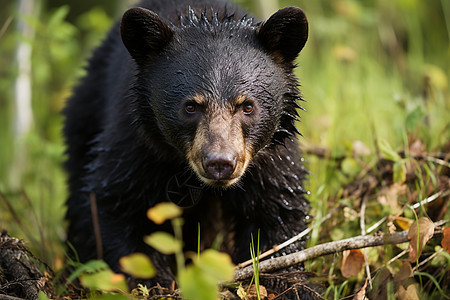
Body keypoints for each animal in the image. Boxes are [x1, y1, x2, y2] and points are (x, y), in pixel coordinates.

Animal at [63, 0, 310, 292]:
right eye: (190, 106)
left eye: (247, 106)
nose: (219, 163)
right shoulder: (138, 149)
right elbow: (115, 204)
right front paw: (151, 281)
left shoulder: (271, 158)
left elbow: (276, 214)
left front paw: (286, 282)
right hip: (85, 114)